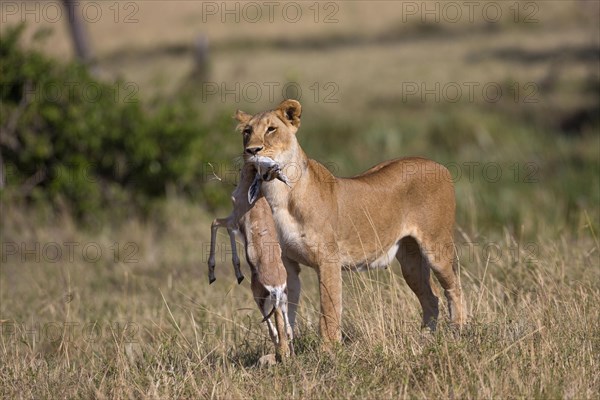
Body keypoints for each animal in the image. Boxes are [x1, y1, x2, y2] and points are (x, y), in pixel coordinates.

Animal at [207, 164, 294, 358]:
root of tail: (275, 288)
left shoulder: (232, 220)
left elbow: (215, 223)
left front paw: (214, 273)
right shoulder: (234, 224)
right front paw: (237, 272)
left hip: (258, 297)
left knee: (274, 331)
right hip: (283, 299)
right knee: (288, 329)